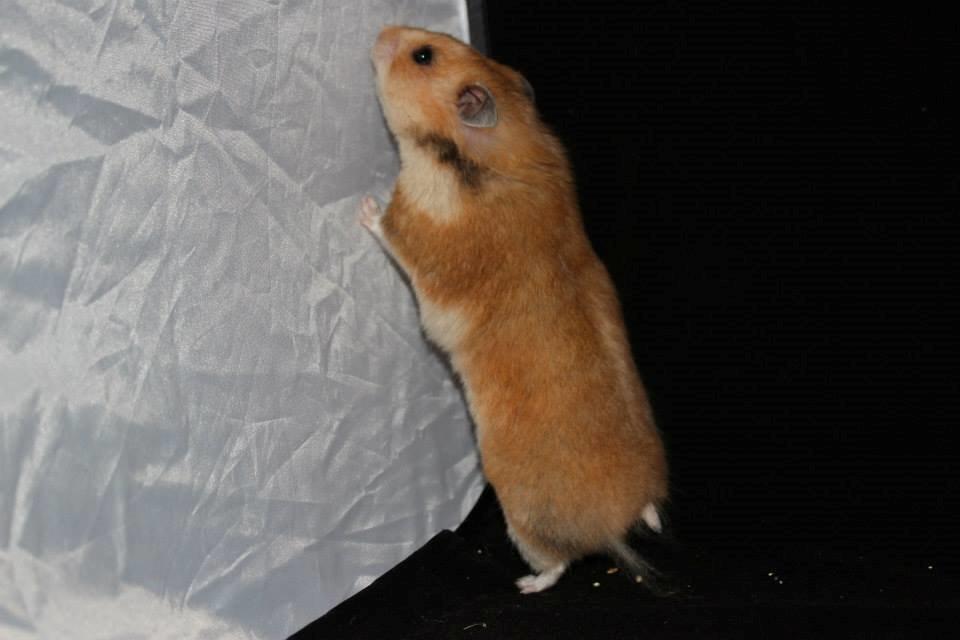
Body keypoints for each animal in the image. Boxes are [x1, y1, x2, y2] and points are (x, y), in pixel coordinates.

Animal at [362, 25, 668, 594]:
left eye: (422, 55)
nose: (381, 32)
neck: (506, 142)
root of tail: (613, 527)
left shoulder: (416, 221)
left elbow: (388, 228)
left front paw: (364, 206)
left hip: (523, 518)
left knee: (559, 562)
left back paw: (526, 585)